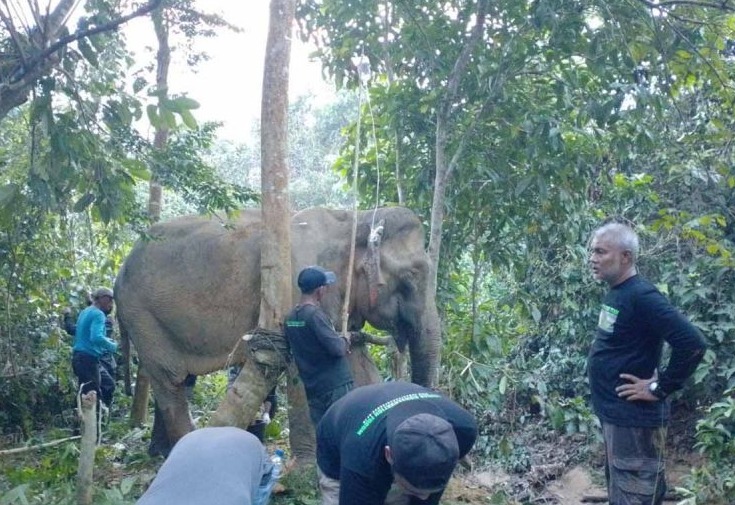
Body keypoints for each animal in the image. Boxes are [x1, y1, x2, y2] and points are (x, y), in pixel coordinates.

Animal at [112, 205, 440, 452]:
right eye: (411, 278)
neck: (354, 219)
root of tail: (118, 275)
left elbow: (356, 362)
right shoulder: (294, 283)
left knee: (174, 380)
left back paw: (158, 454)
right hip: (142, 315)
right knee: (170, 380)